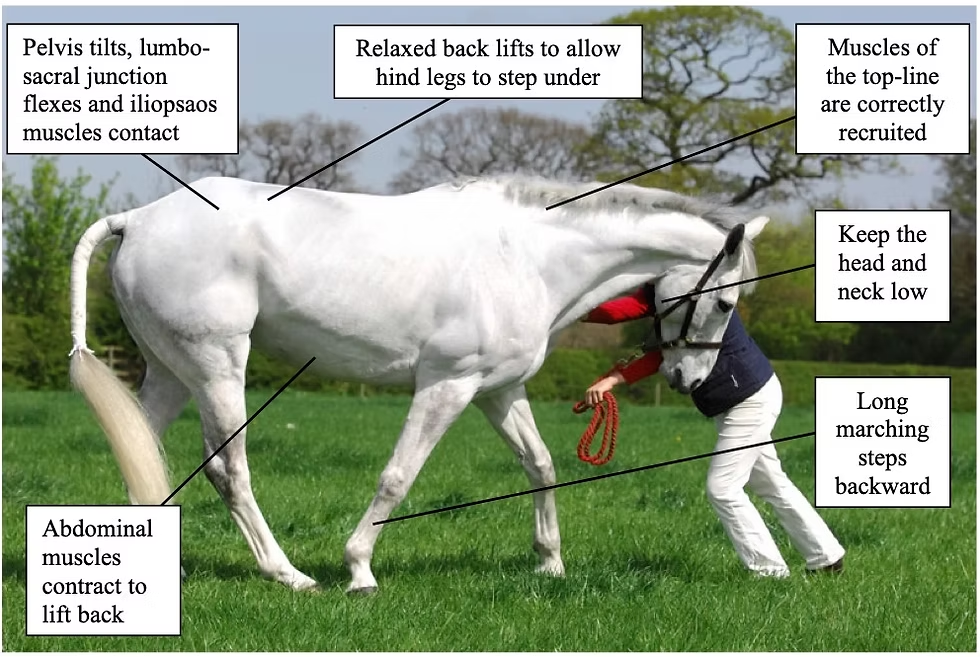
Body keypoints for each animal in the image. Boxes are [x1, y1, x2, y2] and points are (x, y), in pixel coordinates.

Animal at [68, 174, 768, 594]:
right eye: (725, 303)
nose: (688, 377)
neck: (527, 257)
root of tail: (137, 218)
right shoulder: (448, 386)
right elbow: (398, 476)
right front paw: (359, 569)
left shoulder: (497, 392)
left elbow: (541, 466)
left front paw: (550, 563)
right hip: (218, 368)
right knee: (228, 469)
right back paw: (289, 574)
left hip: (170, 374)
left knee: (144, 457)